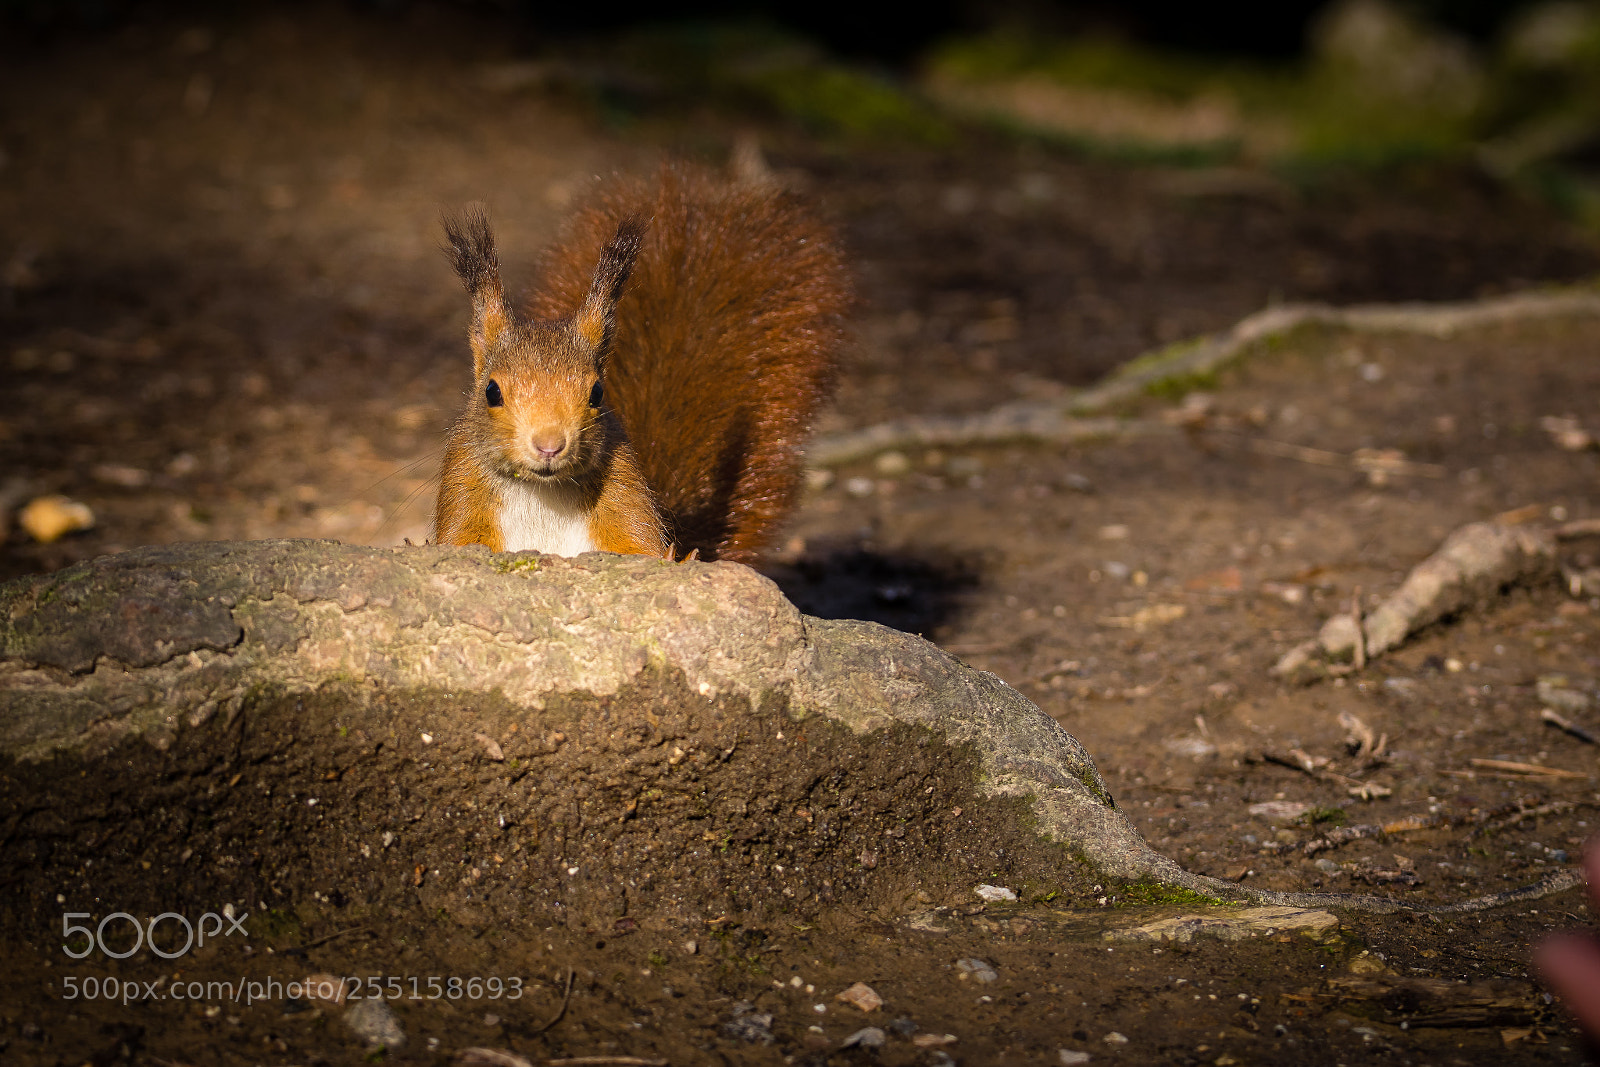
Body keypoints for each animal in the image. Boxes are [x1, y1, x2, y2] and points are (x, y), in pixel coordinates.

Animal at [432, 164, 850, 565]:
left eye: (597, 393)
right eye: (492, 392)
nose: (549, 446)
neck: (542, 488)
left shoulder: (624, 489)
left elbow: (640, 545)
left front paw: (677, 560)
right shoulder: (462, 485)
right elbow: (459, 540)